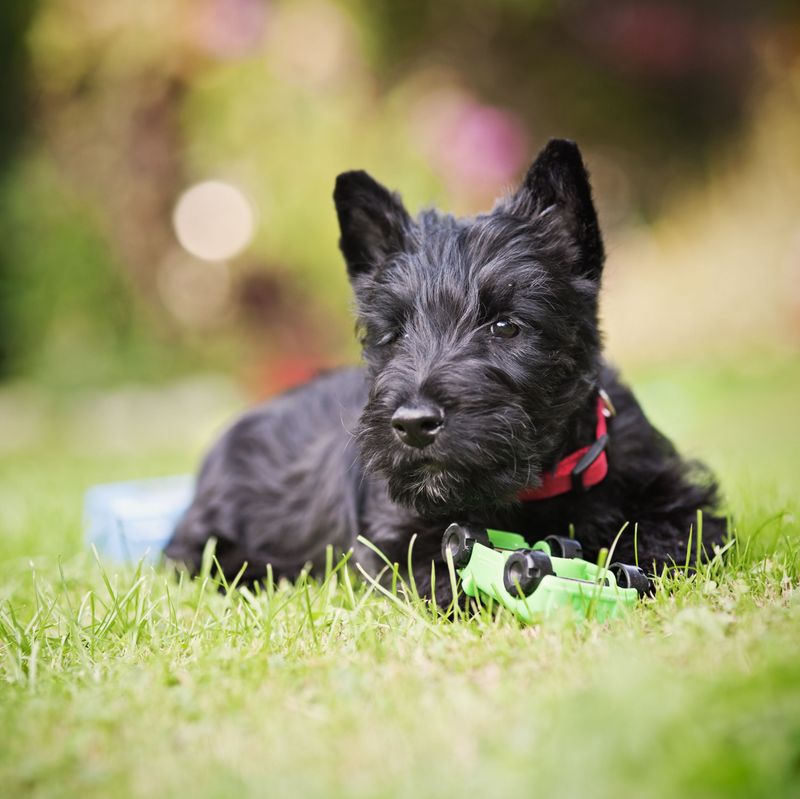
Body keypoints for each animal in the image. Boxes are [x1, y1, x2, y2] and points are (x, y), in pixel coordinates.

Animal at [166, 139, 728, 600]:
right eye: (393, 333)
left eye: (506, 325)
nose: (414, 425)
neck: (529, 489)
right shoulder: (398, 538)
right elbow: (445, 567)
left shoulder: (676, 499)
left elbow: (668, 535)